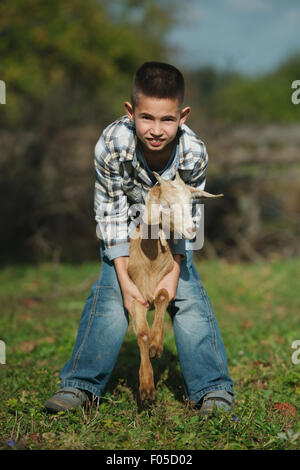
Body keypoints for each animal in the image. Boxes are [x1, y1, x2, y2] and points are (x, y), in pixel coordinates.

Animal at [127, 171, 223, 402]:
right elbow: (142, 335)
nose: (191, 230)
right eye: (166, 205)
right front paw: (147, 388)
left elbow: (162, 296)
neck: (151, 263)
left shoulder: (167, 283)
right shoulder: (136, 298)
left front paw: (156, 346)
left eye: (190, 203)